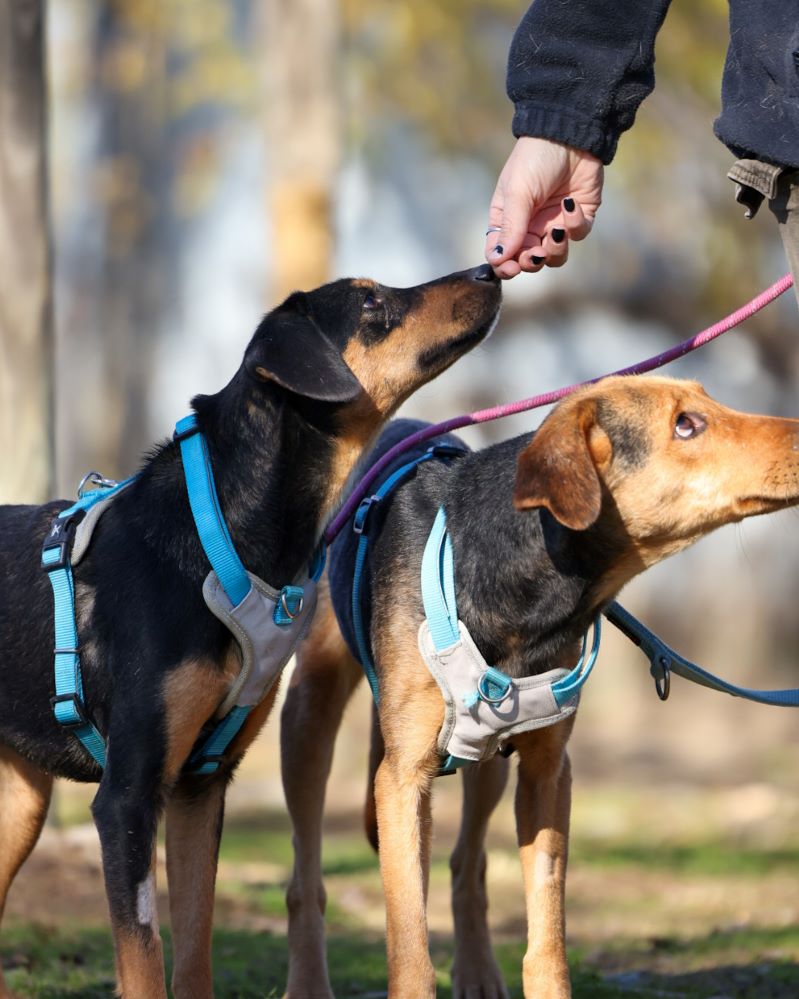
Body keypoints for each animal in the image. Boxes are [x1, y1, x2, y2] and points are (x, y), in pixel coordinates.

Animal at [0, 264, 500, 999]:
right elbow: (145, 960)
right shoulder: (127, 798)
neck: (223, 535)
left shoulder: (198, 786)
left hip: (21, 804)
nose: (490, 268)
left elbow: (194, 950)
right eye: (371, 301)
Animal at [280, 374, 799, 999]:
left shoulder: (548, 771)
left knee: (469, 864)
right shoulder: (402, 780)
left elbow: (547, 933)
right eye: (685, 425)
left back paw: (478, 972)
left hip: (486, 759)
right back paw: (308, 980)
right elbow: (410, 946)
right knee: (307, 877)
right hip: (310, 717)